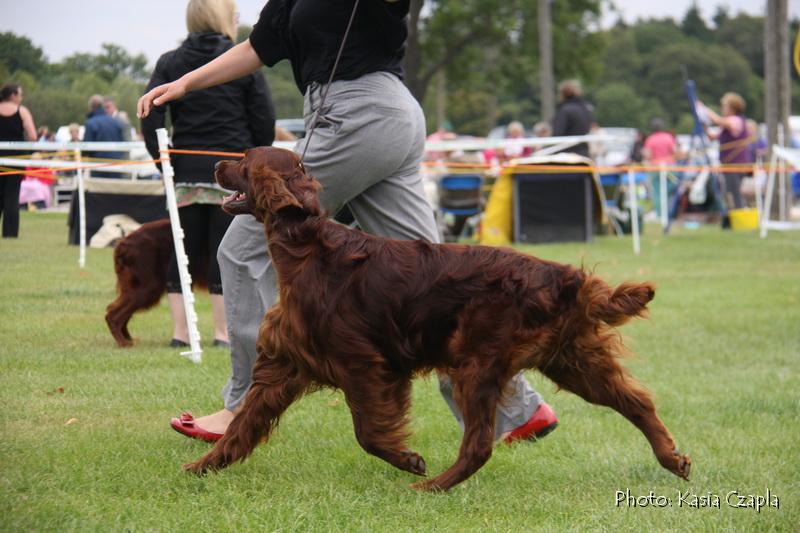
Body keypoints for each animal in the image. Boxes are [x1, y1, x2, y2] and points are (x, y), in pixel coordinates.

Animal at [184, 145, 692, 490]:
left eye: (244, 159)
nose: (213, 166)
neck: (307, 251)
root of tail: (566, 277)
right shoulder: (283, 364)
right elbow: (242, 425)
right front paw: (200, 467)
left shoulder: (365, 365)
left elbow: (368, 432)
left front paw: (408, 459)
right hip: (573, 360)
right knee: (637, 403)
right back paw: (673, 459)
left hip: (478, 364)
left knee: (480, 444)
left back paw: (433, 485)